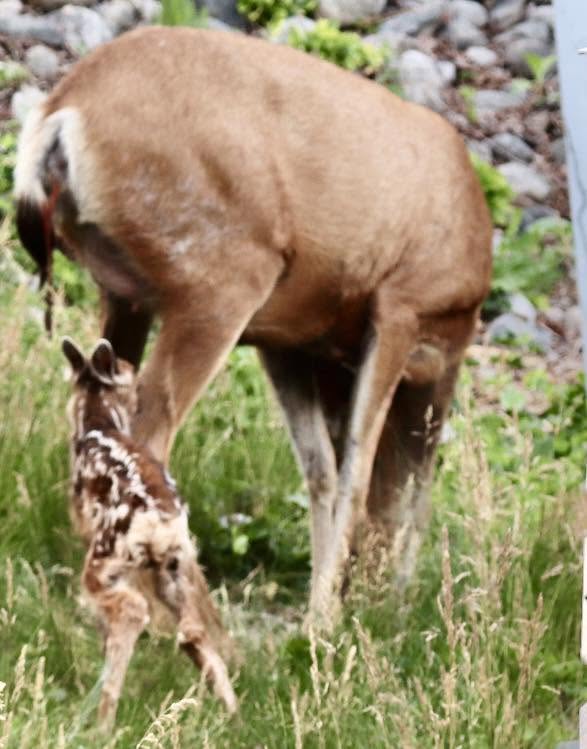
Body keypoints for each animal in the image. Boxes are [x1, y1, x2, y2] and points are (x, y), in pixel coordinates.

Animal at [14, 26, 493, 630]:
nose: (389, 607)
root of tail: (60, 112)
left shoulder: (289, 339)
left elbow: (321, 471)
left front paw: (321, 604)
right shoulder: (400, 306)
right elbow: (359, 475)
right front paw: (324, 621)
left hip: (125, 295)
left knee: (95, 413)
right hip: (221, 274)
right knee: (151, 431)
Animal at [62, 336, 237, 728]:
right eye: (132, 378)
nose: (140, 399)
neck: (97, 422)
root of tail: (160, 521)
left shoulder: (87, 528)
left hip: (109, 553)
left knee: (131, 609)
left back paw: (102, 723)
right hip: (174, 565)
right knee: (191, 630)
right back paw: (235, 714)